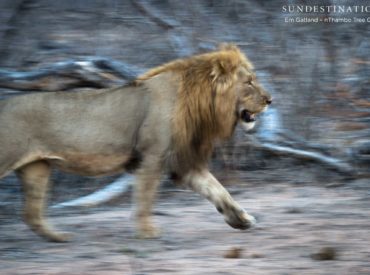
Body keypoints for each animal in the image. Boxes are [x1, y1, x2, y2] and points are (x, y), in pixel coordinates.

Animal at [0, 44, 272, 243]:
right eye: (249, 82)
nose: (270, 99)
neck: (202, 105)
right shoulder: (152, 157)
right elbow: (145, 197)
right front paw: (146, 232)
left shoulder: (183, 162)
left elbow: (219, 191)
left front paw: (242, 220)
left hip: (37, 168)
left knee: (31, 213)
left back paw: (58, 237)